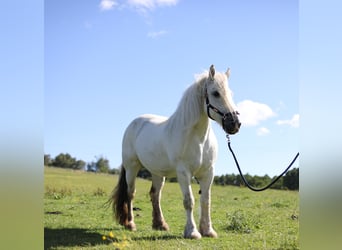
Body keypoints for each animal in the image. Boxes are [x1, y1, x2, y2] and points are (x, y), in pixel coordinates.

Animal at [109, 64, 240, 238]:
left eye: (230, 93)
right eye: (215, 93)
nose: (235, 123)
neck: (197, 138)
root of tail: (134, 123)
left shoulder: (208, 172)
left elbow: (206, 201)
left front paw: (208, 230)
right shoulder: (183, 172)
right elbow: (189, 201)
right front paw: (192, 232)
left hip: (157, 173)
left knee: (155, 194)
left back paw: (160, 224)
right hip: (132, 168)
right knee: (131, 193)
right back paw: (130, 224)